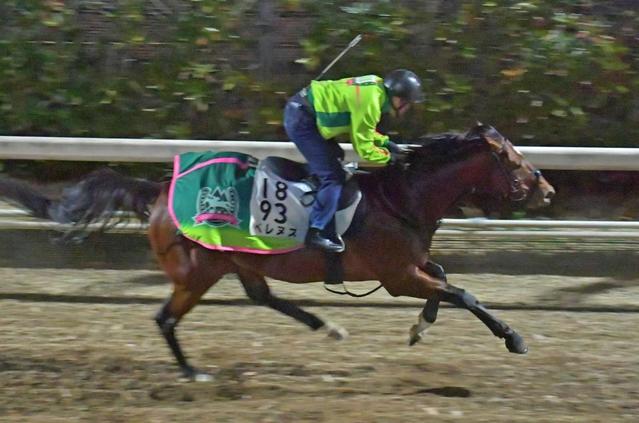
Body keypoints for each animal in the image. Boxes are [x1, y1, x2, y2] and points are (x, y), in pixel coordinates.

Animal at [0, 123, 556, 380]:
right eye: (512, 160)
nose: (547, 190)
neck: (402, 196)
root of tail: (158, 192)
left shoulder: (409, 267)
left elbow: (443, 280)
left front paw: (420, 328)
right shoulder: (398, 275)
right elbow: (462, 292)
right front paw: (514, 338)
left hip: (236, 263)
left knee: (261, 297)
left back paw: (327, 327)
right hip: (197, 273)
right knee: (166, 318)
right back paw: (192, 372)